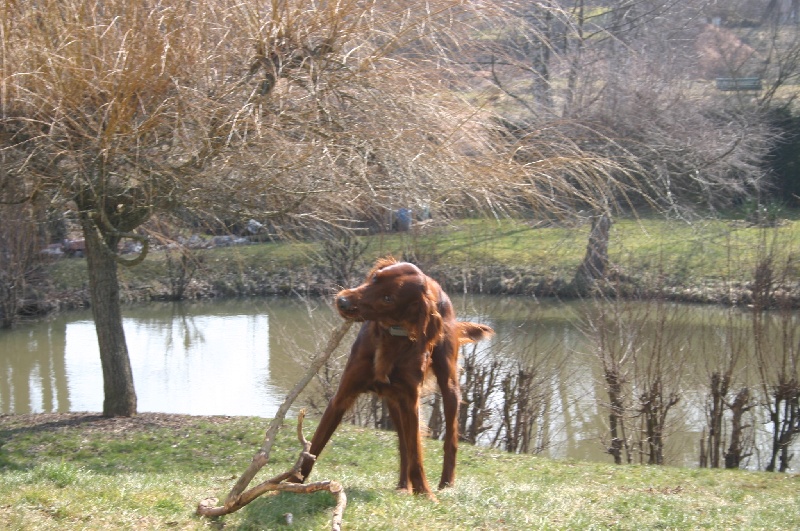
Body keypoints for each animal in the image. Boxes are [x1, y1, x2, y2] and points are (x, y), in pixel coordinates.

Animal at [294, 258, 494, 498]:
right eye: (374, 278)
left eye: (388, 298)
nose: (342, 301)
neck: (391, 335)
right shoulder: (343, 396)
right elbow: (315, 446)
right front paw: (293, 482)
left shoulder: (410, 400)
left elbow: (417, 452)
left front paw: (425, 492)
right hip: (392, 402)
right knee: (404, 445)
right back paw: (403, 486)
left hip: (448, 386)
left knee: (449, 440)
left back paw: (445, 483)